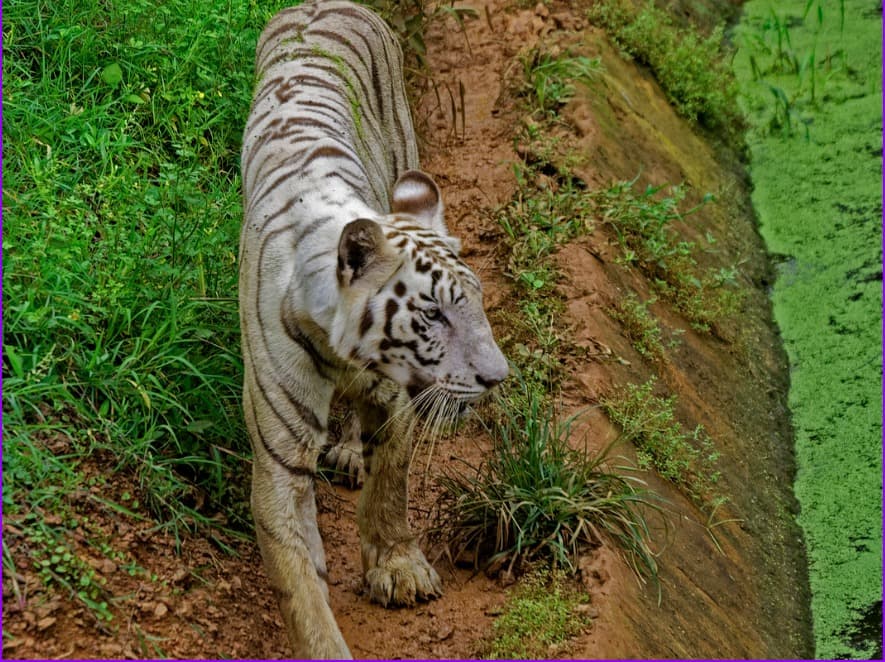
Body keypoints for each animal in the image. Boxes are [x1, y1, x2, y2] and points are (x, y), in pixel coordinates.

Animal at [238, 1, 508, 660]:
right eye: (435, 315)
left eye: (477, 305)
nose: (499, 378)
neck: (338, 352)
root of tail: (324, 4)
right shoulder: (279, 457)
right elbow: (300, 582)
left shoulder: (394, 396)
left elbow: (392, 482)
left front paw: (399, 567)